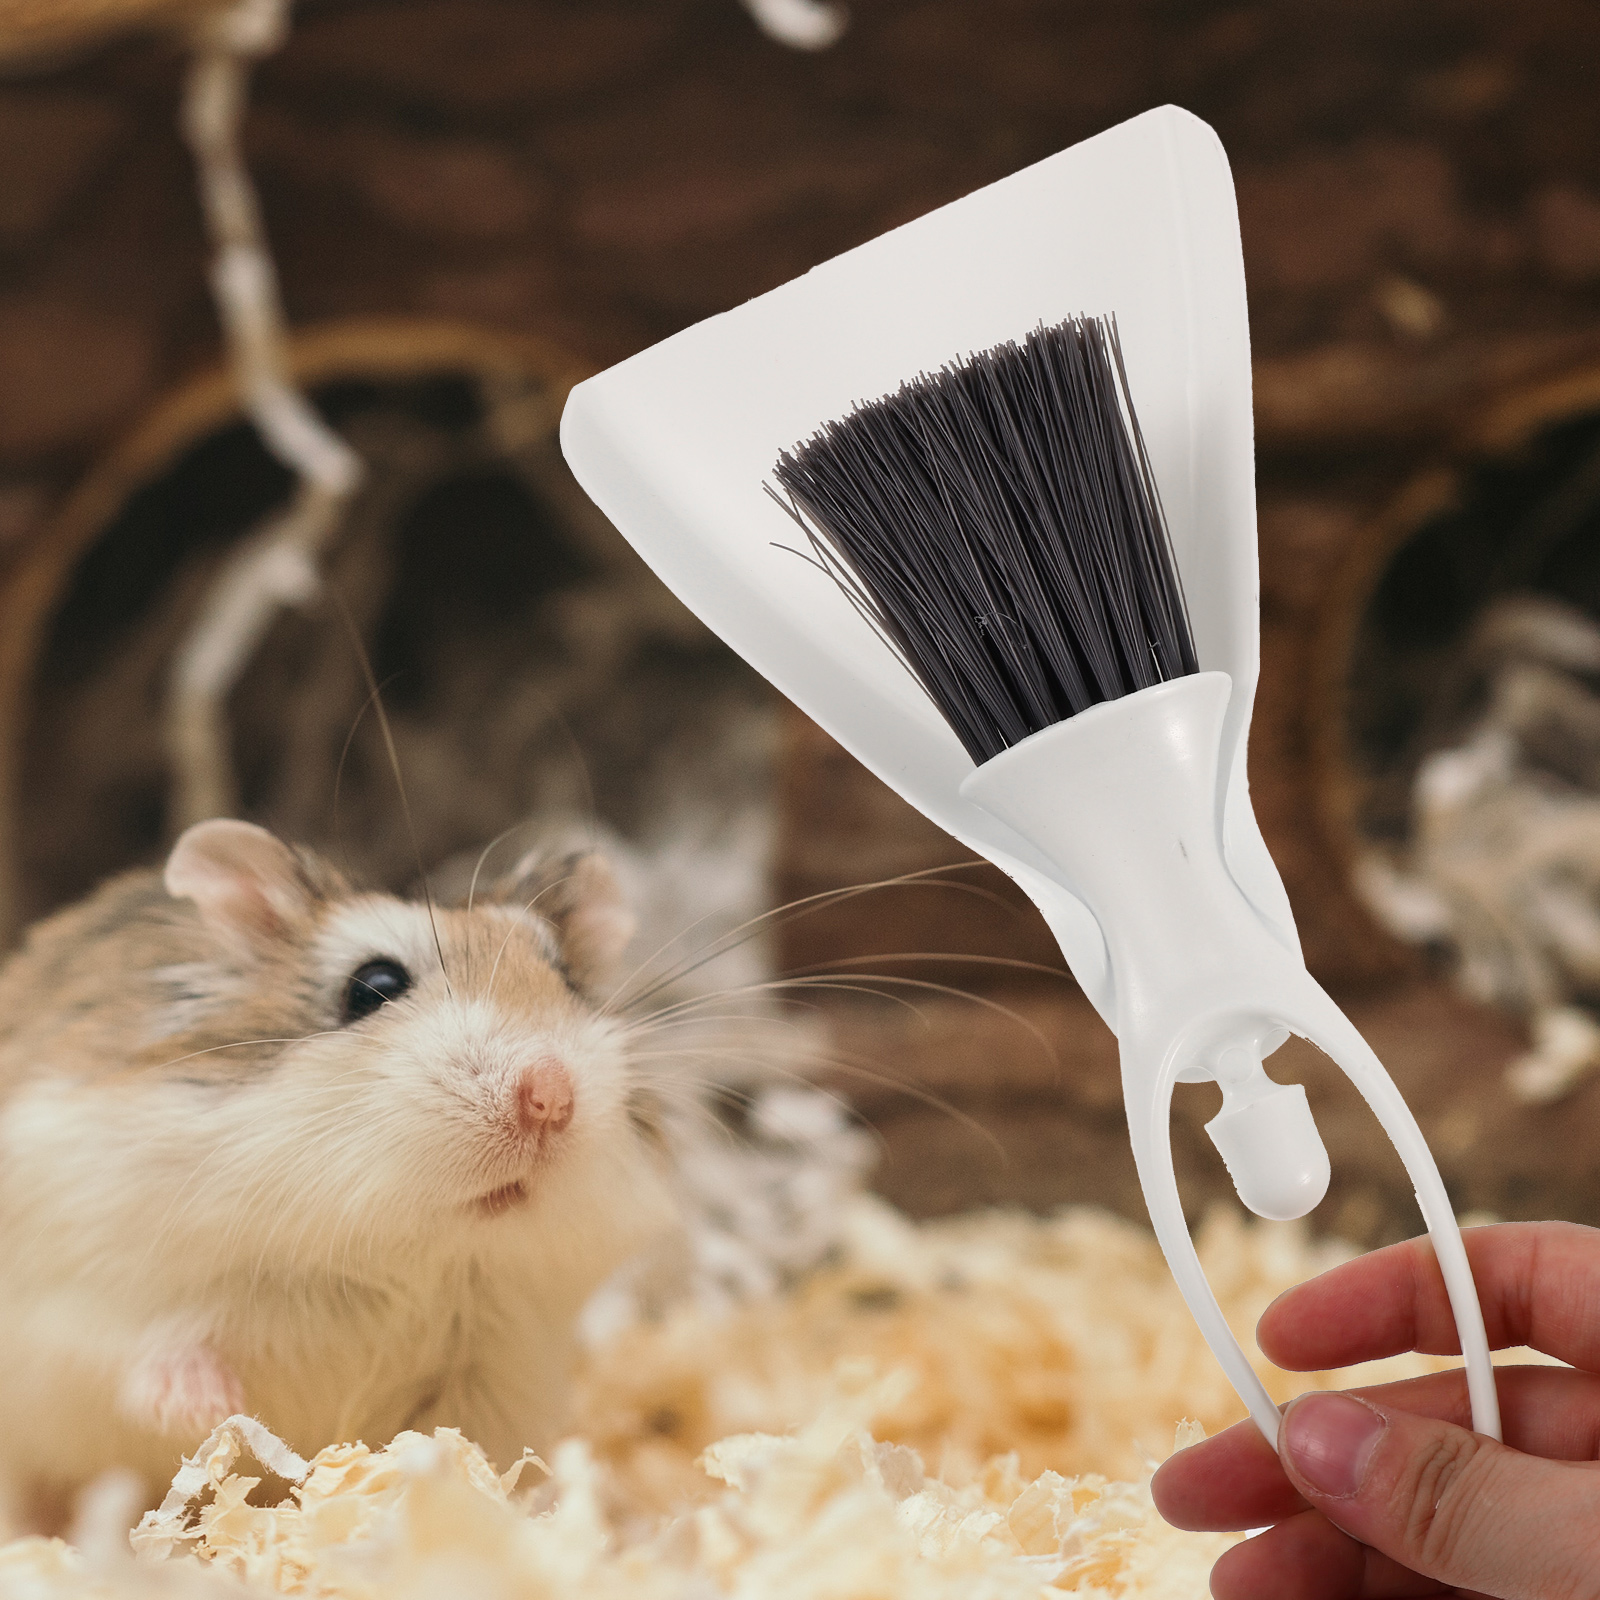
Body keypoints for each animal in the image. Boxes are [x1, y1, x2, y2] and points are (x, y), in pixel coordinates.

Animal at [0, 819, 676, 1516]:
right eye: (374, 985)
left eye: (567, 981)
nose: (551, 1097)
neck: (402, 1254)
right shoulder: (80, 1303)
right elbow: (145, 1355)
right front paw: (213, 1410)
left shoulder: (496, 1370)